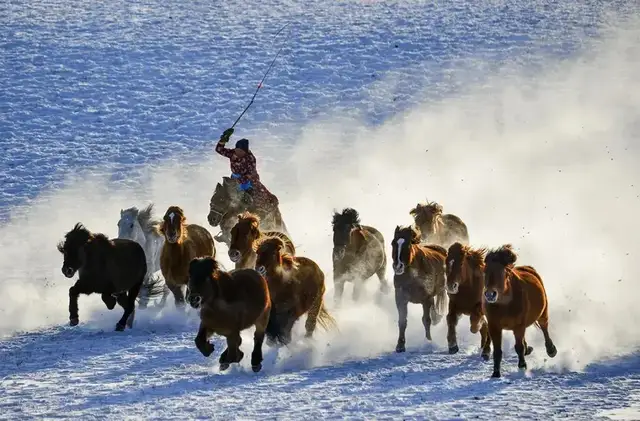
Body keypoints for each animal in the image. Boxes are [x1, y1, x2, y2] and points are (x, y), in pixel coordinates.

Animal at [482, 243, 556, 378]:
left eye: (503, 272)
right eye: (485, 272)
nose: (490, 294)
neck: (504, 305)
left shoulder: (518, 325)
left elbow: (519, 347)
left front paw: (522, 366)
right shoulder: (494, 326)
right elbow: (497, 351)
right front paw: (496, 373)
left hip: (543, 312)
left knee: (544, 327)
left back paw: (551, 349)